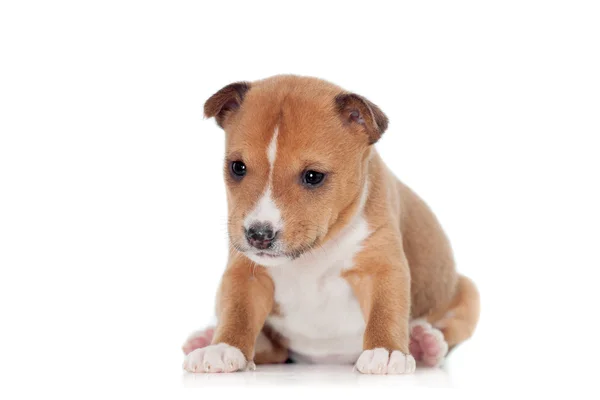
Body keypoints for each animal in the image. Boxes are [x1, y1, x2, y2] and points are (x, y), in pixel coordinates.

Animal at [182, 75, 478, 376]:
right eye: (237, 167)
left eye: (313, 176)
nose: (258, 235)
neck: (313, 254)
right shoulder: (246, 273)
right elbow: (238, 311)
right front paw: (223, 347)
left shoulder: (381, 267)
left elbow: (385, 309)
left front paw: (386, 350)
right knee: (274, 351)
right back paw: (205, 339)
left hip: (468, 295)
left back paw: (424, 344)